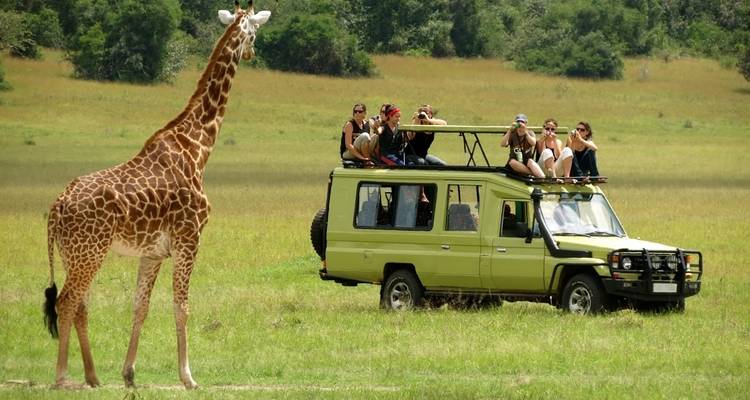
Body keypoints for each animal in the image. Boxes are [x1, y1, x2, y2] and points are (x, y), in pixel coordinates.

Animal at [42, 2, 270, 389]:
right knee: (67, 301)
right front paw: (188, 377)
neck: (198, 147)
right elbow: (182, 306)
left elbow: (141, 306)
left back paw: (93, 376)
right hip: (90, 251)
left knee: (81, 304)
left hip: (75, 253)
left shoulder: (152, 252)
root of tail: (57, 206)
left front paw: (129, 374)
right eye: (255, 32)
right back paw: (61, 377)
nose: (254, 52)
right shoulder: (188, 239)